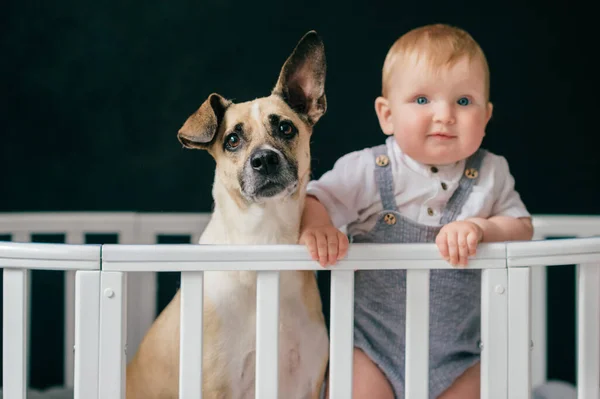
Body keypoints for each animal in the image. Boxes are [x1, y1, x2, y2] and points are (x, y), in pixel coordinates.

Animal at [126, 29, 330, 398]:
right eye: (232, 139)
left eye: (286, 129)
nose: (264, 159)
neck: (264, 240)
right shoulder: (218, 385)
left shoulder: (306, 383)